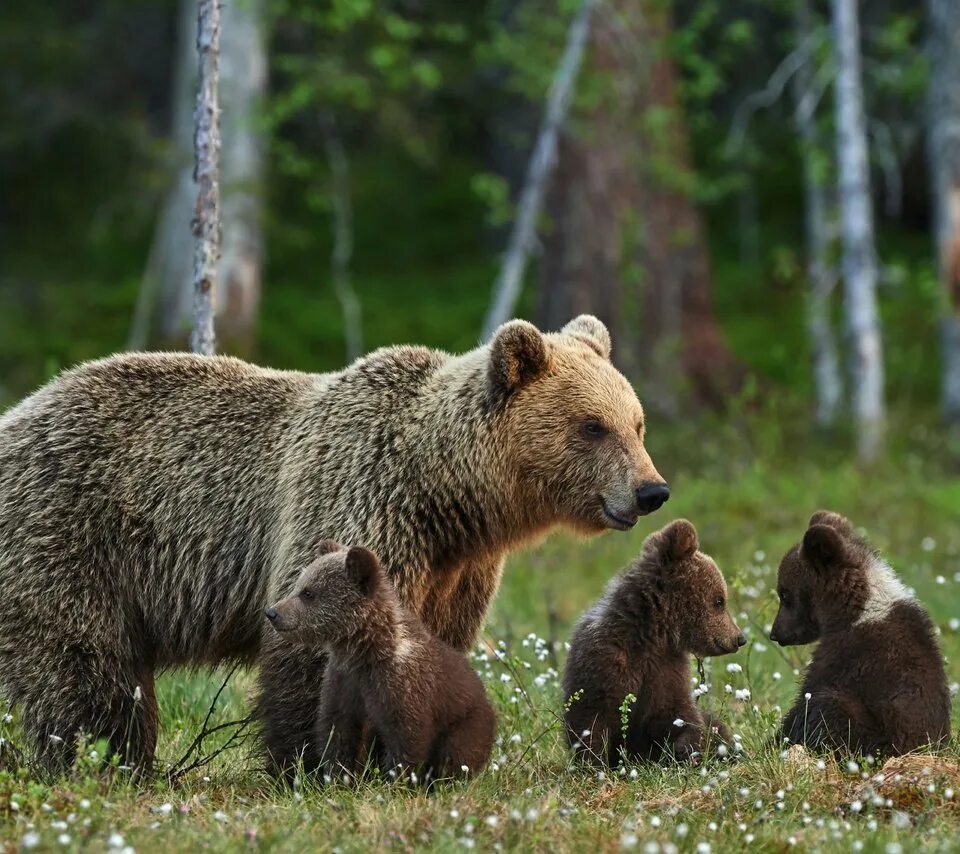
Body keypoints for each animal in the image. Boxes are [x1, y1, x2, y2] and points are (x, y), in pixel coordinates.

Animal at [0, 318, 668, 772]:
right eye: (592, 426)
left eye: (636, 423)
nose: (651, 490)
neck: (444, 495)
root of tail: (19, 414)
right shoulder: (357, 499)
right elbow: (319, 645)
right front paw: (316, 763)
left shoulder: (457, 568)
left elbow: (436, 644)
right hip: (71, 535)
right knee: (85, 666)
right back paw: (108, 760)